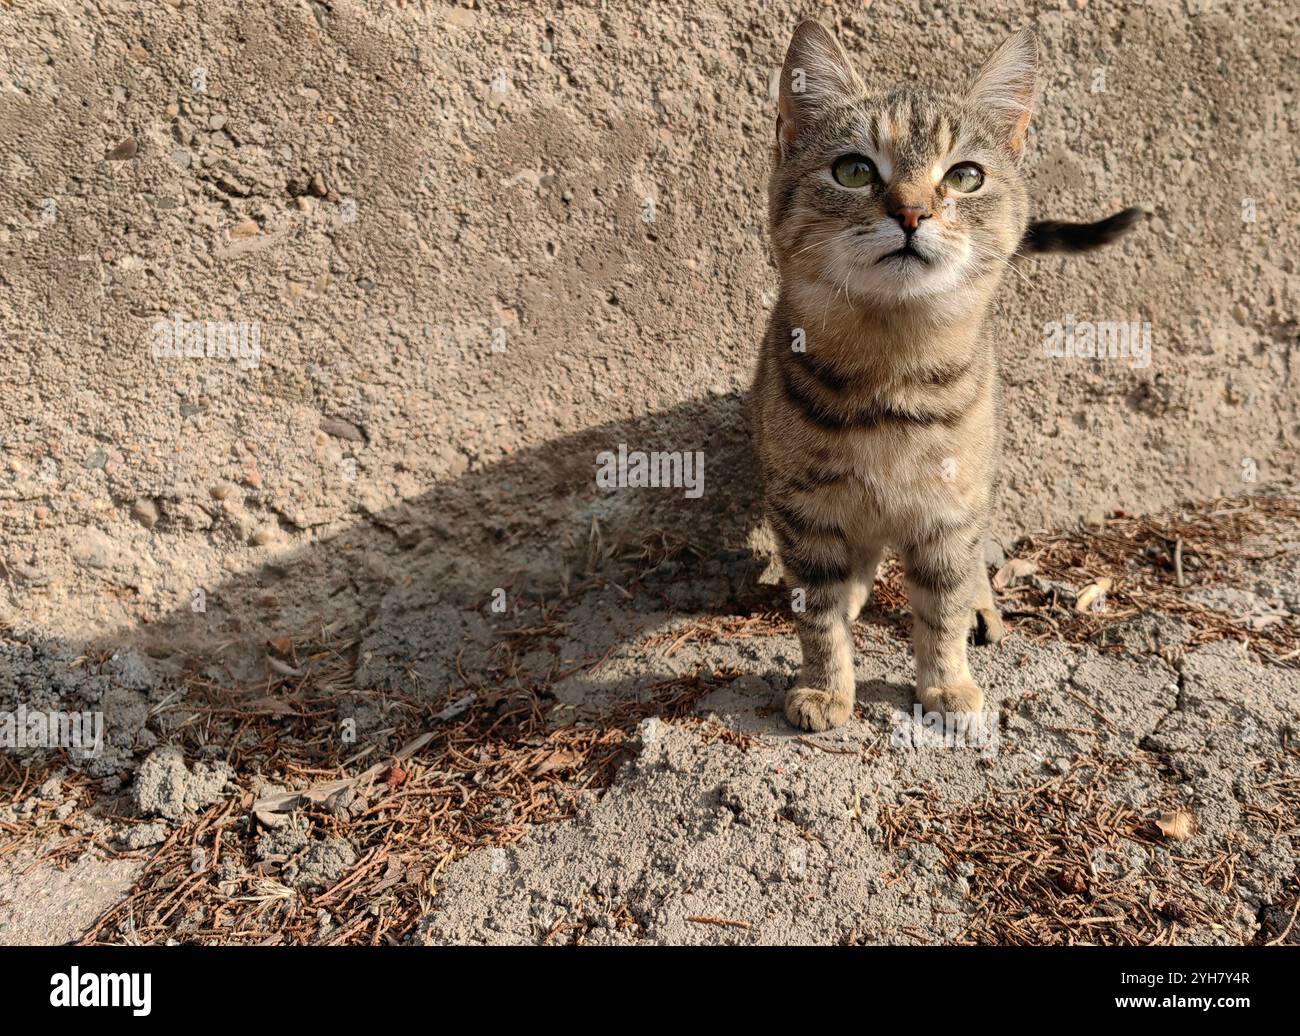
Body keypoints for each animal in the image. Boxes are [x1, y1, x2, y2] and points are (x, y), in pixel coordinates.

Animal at [754, 20, 1138, 733]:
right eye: (853, 170)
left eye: (965, 176)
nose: (911, 213)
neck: (891, 369)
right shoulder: (803, 507)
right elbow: (818, 616)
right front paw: (825, 687)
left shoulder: (950, 511)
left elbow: (941, 609)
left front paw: (946, 683)